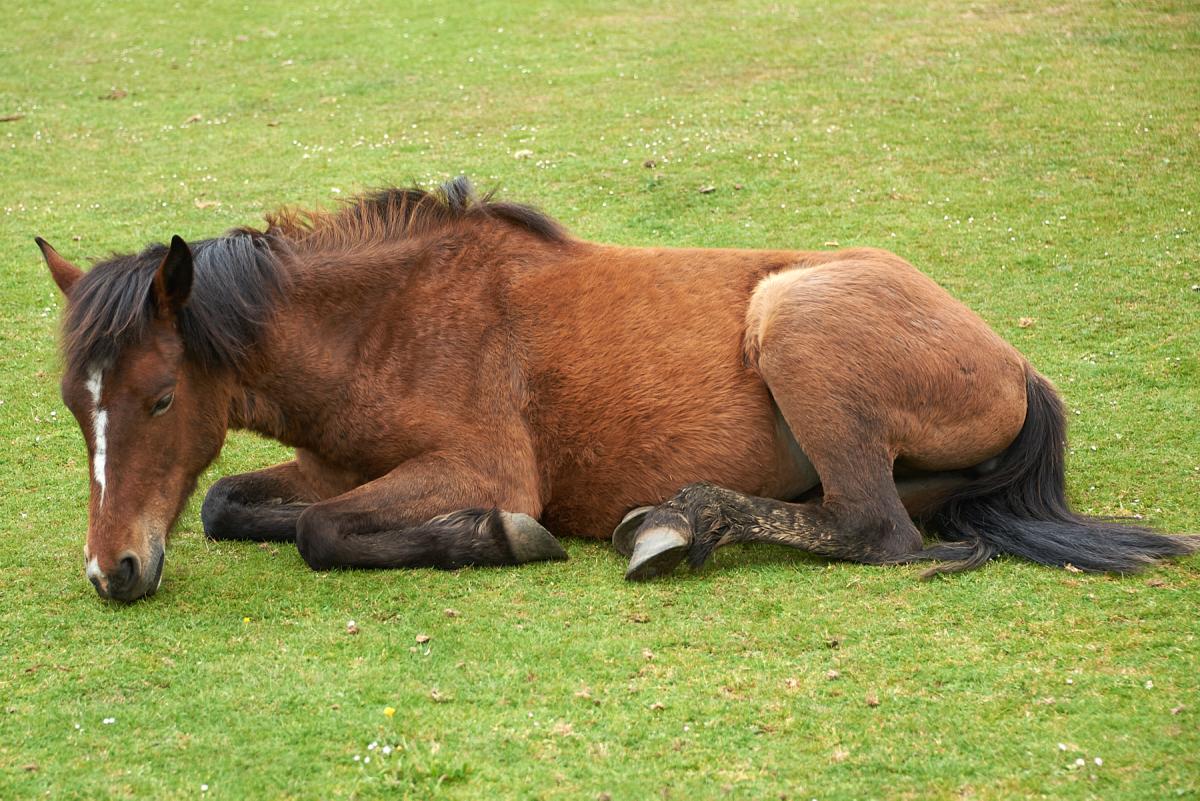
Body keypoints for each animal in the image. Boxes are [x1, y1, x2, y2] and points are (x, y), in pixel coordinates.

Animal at [38, 177, 1196, 601]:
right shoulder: (324, 464)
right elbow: (231, 504)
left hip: (795, 323)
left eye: (157, 398)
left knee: (874, 531)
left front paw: (498, 539)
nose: (113, 571)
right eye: (70, 403)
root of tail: (1015, 365)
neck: (387, 320)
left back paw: (676, 525)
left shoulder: (481, 464)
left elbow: (328, 533)